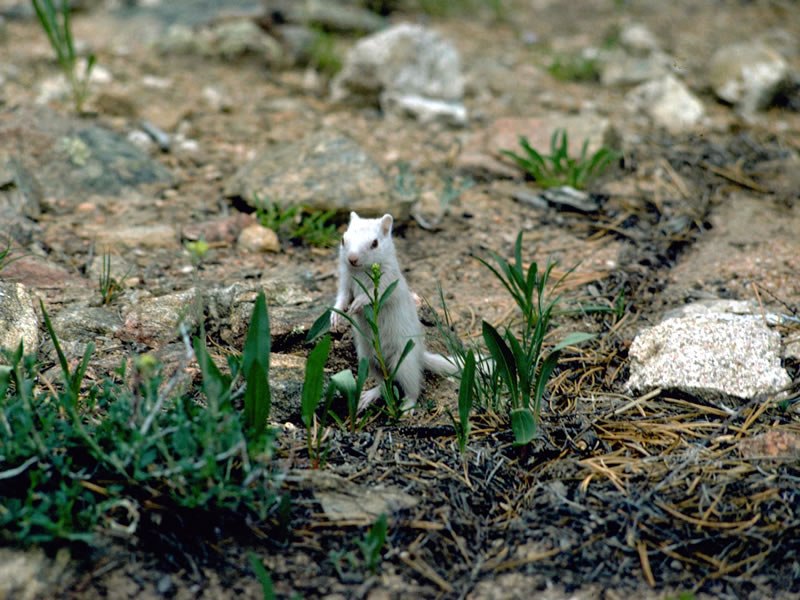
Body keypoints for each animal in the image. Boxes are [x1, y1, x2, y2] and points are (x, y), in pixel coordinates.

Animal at [330, 212, 456, 412]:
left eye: (375, 243)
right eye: (343, 239)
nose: (352, 259)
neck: (361, 272)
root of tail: (421, 355)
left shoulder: (389, 282)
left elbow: (375, 295)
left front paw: (359, 303)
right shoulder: (345, 282)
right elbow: (342, 298)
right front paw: (335, 316)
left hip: (404, 363)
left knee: (413, 388)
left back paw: (407, 407)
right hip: (368, 361)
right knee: (384, 385)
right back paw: (369, 396)